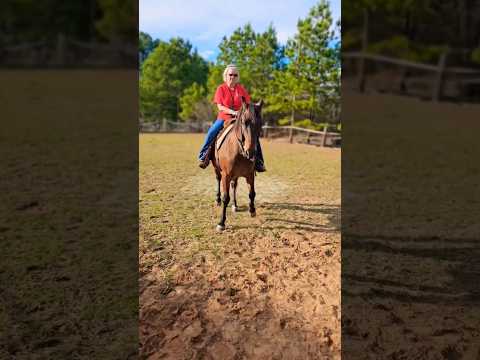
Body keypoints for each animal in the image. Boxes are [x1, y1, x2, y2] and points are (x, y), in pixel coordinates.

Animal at [210, 100, 262, 232]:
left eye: (260, 124)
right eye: (244, 122)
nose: (251, 152)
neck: (239, 150)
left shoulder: (250, 174)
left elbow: (252, 193)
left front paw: (252, 210)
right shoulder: (226, 175)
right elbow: (225, 197)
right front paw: (221, 223)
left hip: (236, 175)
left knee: (234, 185)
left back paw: (235, 205)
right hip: (217, 169)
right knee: (218, 179)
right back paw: (218, 200)